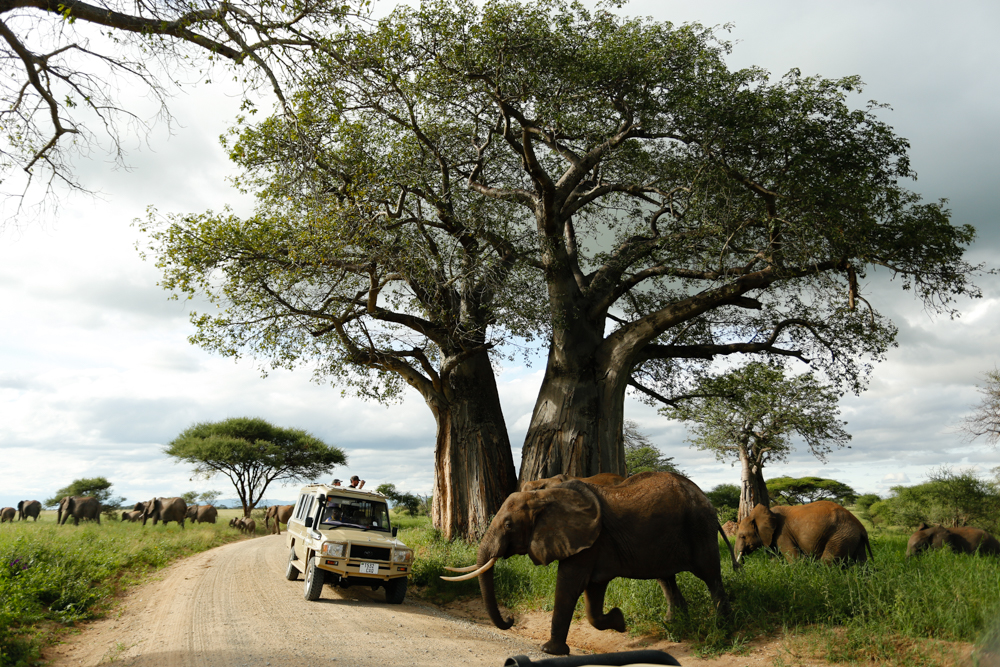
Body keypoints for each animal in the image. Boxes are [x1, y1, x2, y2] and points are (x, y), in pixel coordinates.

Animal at [442, 472, 737, 656]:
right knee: (666, 577)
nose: (511, 618)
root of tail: (705, 496)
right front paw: (620, 621)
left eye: (508, 525)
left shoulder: (588, 539)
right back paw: (673, 626)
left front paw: (549, 651)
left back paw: (722, 629)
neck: (545, 496)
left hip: (699, 526)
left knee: (710, 575)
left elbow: (570, 584)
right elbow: (593, 592)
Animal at [734, 501, 873, 565]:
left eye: (743, 536)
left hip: (840, 537)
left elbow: (795, 559)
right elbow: (775, 559)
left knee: (828, 561)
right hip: (852, 538)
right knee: (861, 563)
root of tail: (861, 527)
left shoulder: (782, 533)